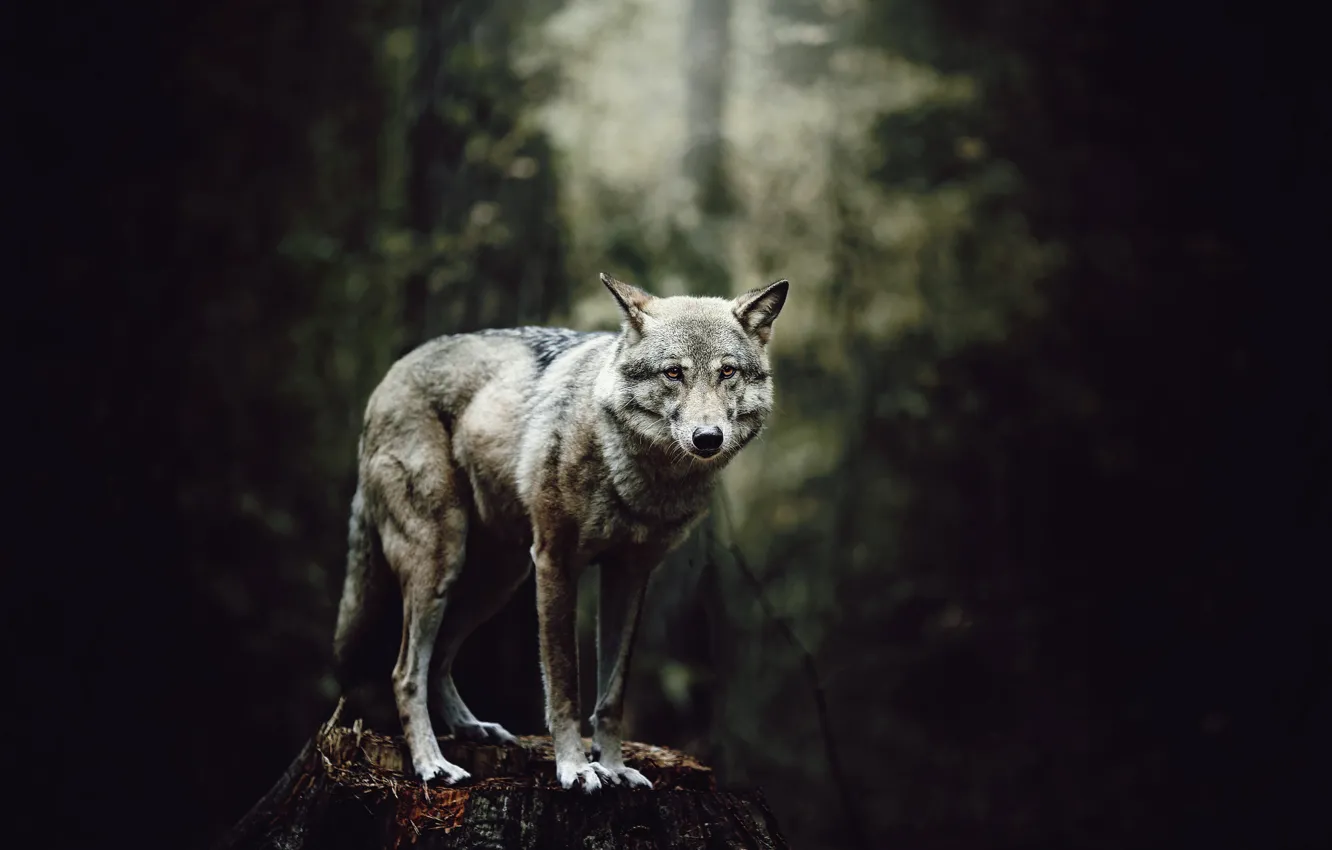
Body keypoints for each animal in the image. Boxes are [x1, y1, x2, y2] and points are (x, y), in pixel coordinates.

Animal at [331, 273, 788, 792]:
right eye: (673, 373)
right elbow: (565, 683)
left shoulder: (630, 575)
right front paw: (575, 768)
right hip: (441, 563)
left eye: (727, 372)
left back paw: (472, 728)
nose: (707, 438)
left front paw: (614, 767)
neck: (639, 476)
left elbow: (611, 695)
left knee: (440, 658)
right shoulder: (556, 562)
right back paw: (433, 764)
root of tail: (391, 375)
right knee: (405, 671)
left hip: (496, 582)